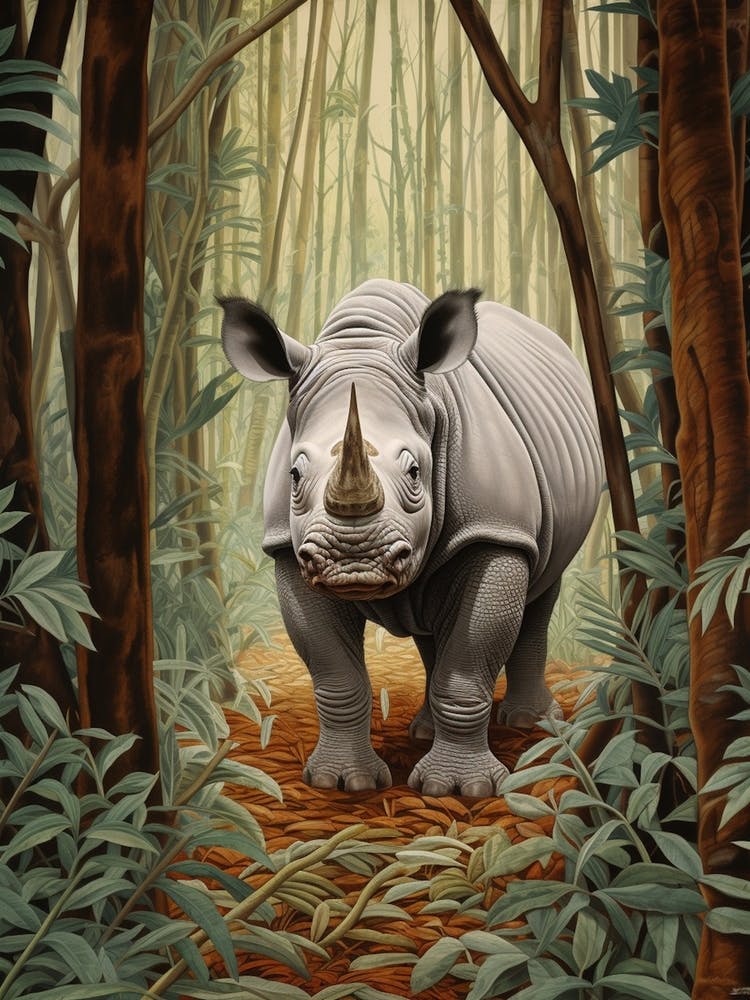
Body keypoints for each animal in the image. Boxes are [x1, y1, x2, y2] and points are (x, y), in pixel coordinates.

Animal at [220, 279, 603, 797]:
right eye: (294, 475)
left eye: (416, 472)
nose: (353, 562)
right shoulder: (288, 548)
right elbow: (335, 674)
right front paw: (342, 782)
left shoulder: (495, 530)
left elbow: (467, 665)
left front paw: (459, 790)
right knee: (429, 626)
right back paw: (423, 729)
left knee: (542, 589)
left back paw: (533, 725)